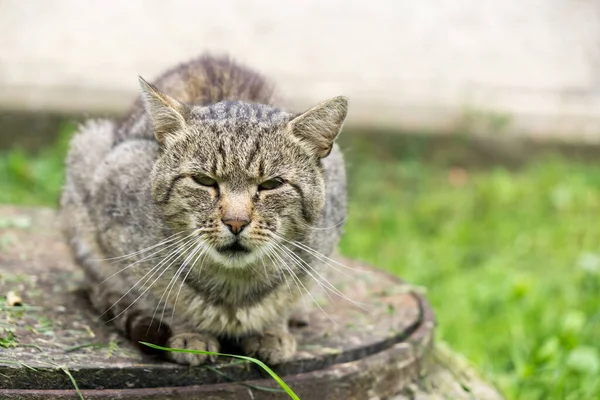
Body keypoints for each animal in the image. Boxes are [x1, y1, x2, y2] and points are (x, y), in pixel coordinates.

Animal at [59, 54, 346, 368]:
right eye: (204, 180)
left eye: (271, 184)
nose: (236, 222)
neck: (234, 287)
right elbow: (159, 294)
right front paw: (188, 333)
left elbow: (286, 297)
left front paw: (273, 330)